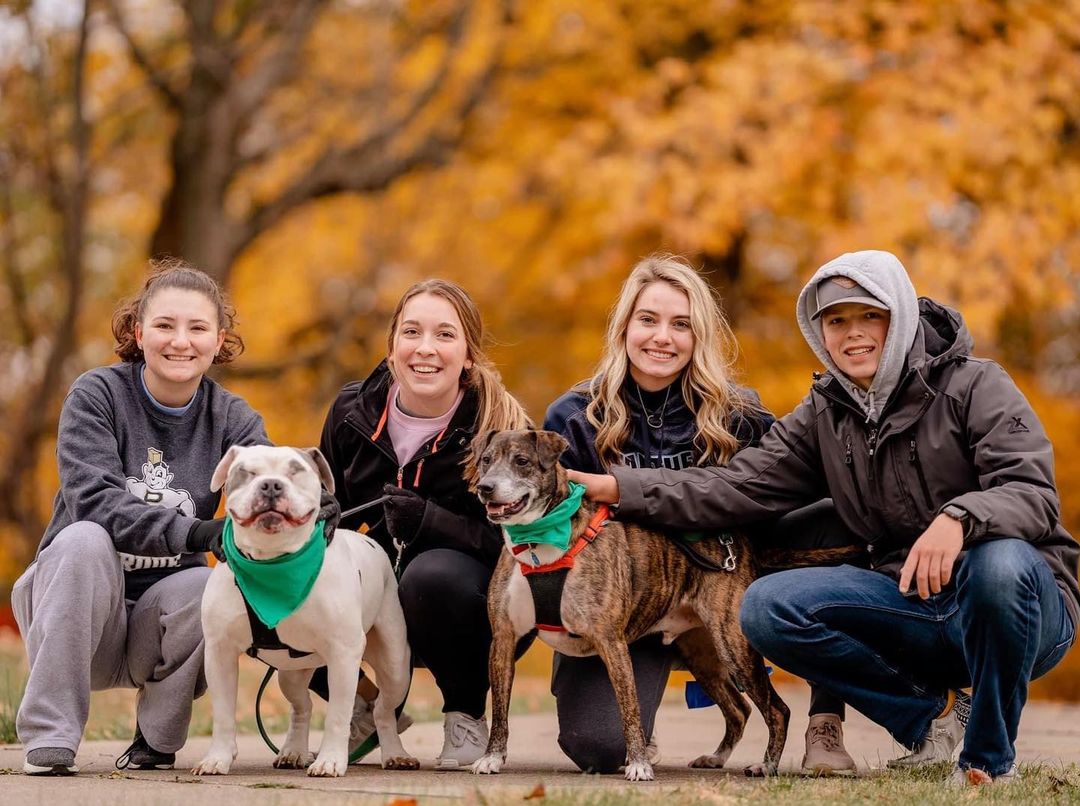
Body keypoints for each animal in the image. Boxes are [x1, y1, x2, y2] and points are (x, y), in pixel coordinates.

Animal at [468, 434, 790, 777]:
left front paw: (638, 764)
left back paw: (767, 765)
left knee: (777, 709)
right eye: (486, 460)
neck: (538, 542)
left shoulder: (612, 642)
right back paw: (716, 757)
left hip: (733, 644)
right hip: (703, 654)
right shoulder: (503, 640)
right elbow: (500, 708)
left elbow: (629, 709)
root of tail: (734, 541)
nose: (485, 487)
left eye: (522, 461)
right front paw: (491, 757)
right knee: (739, 708)